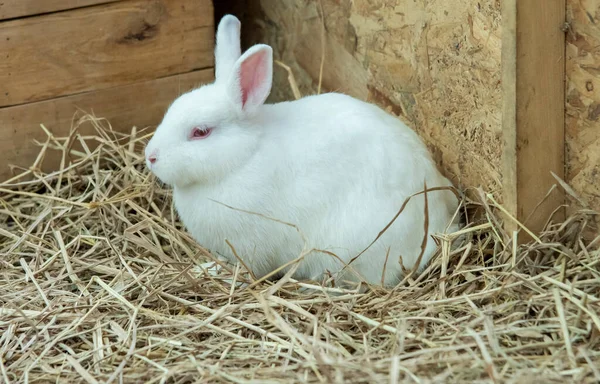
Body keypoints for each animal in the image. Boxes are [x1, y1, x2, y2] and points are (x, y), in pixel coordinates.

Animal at [144, 15, 460, 290]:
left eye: (200, 132)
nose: (150, 156)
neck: (241, 159)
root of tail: (441, 223)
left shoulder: (249, 249)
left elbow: (246, 271)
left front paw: (209, 271)